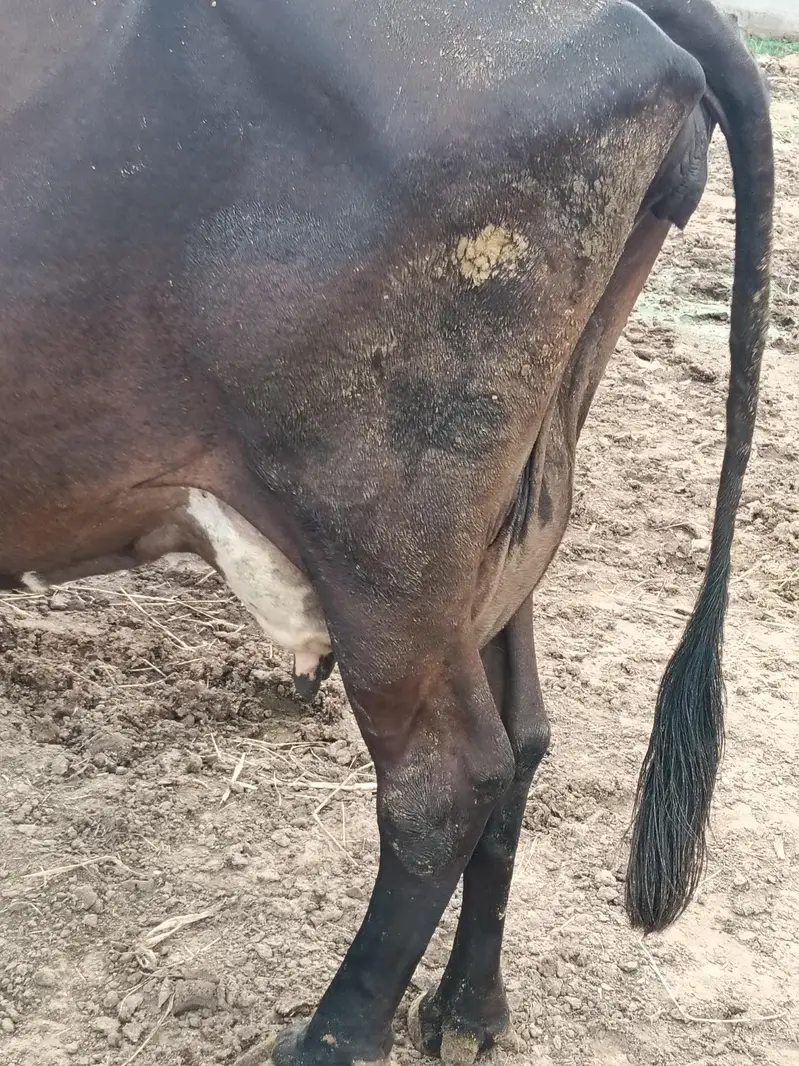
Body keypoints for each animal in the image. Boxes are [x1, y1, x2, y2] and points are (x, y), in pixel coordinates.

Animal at [0, 1, 773, 1063]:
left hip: (384, 540)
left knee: (444, 781)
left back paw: (332, 1038)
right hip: (507, 525)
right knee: (522, 738)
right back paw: (468, 1010)